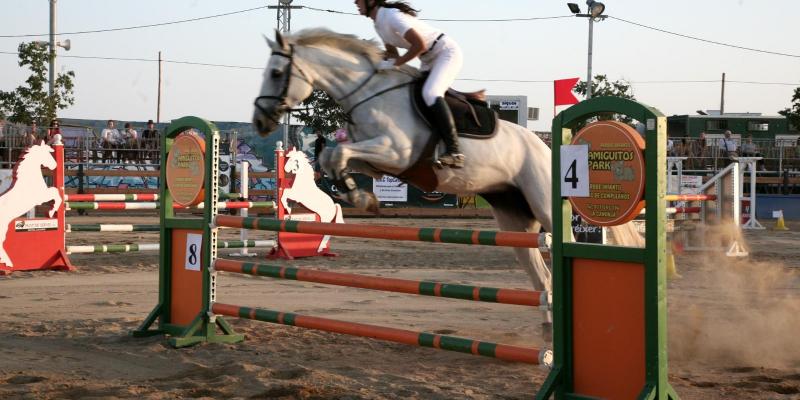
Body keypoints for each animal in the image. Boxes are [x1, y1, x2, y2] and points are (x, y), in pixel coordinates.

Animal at [253, 27, 640, 290]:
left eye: (275, 73)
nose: (260, 121)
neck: (370, 92)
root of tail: (548, 150)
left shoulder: (395, 152)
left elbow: (340, 152)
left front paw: (359, 197)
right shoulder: (380, 158)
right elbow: (335, 155)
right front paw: (361, 196)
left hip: (543, 201)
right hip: (514, 218)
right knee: (541, 276)